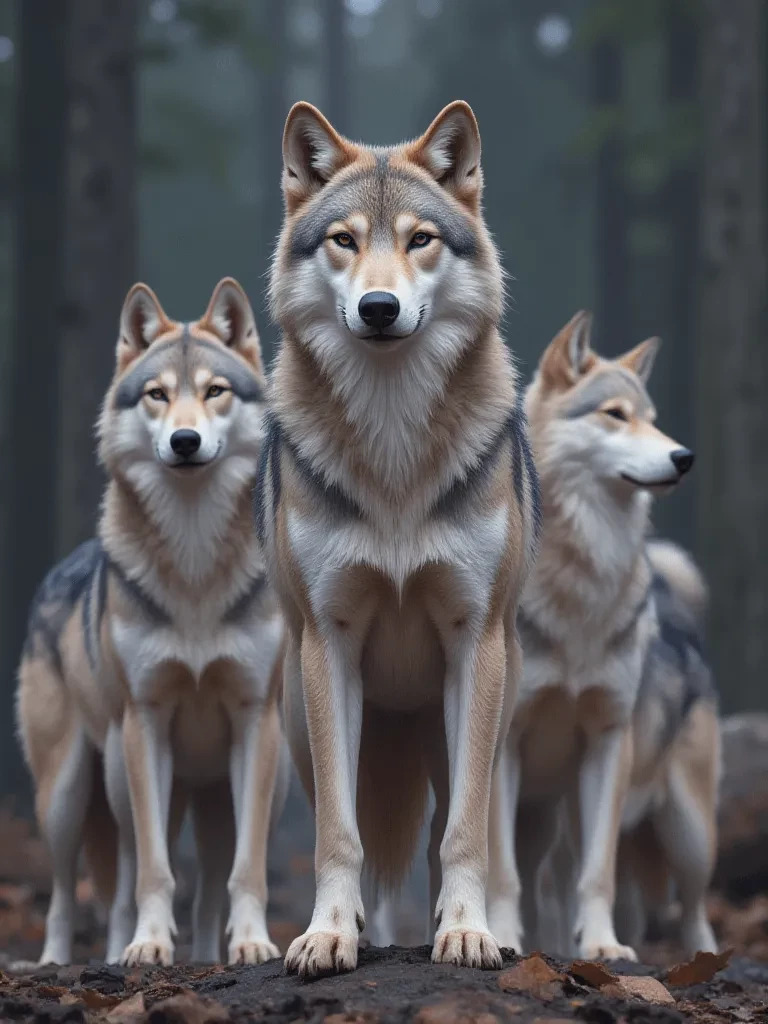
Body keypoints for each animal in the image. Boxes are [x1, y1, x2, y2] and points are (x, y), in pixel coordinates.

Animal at [16, 278, 288, 966]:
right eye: (157, 395)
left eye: (215, 391)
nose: (185, 441)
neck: (194, 569)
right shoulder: (145, 721)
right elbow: (154, 872)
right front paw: (147, 947)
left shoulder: (256, 721)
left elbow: (247, 870)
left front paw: (252, 944)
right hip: (79, 789)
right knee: (84, 887)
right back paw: (75, 958)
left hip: (233, 795)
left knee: (208, 887)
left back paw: (206, 955)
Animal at [256, 100, 540, 976]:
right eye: (345, 240)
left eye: (420, 240)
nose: (379, 308)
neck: (393, 454)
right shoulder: (330, 642)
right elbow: (337, 835)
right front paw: (328, 935)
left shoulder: (474, 637)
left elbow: (464, 835)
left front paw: (468, 932)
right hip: (306, 721)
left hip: (480, 715)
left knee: (458, 824)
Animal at [485, 311, 711, 961]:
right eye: (615, 414)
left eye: (652, 416)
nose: (683, 456)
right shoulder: (505, 746)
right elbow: (503, 873)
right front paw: (503, 938)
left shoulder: (609, 741)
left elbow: (599, 872)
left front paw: (605, 949)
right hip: (551, 818)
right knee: (547, 882)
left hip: (685, 830)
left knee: (692, 909)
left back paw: (698, 957)